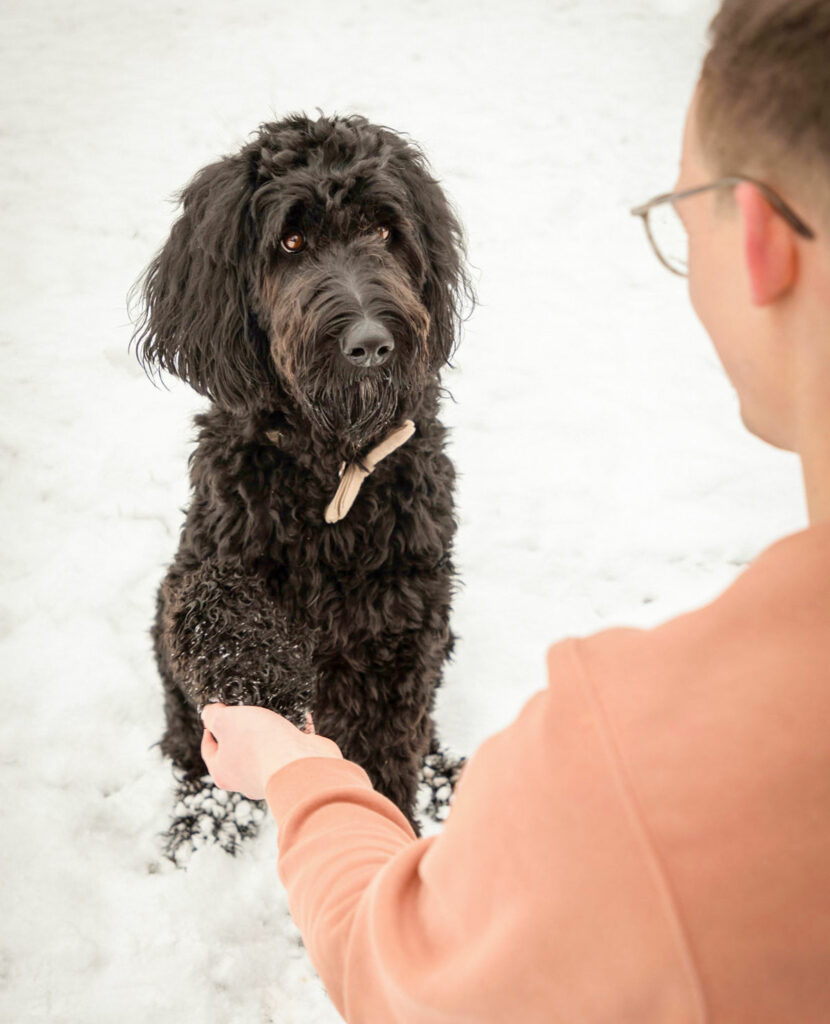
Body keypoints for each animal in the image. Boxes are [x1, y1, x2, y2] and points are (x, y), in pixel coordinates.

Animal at [134, 112, 476, 860]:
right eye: (291, 241)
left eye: (385, 231)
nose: (371, 344)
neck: (332, 469)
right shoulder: (200, 564)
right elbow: (212, 604)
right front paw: (269, 686)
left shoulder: (403, 627)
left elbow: (385, 759)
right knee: (188, 749)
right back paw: (202, 826)